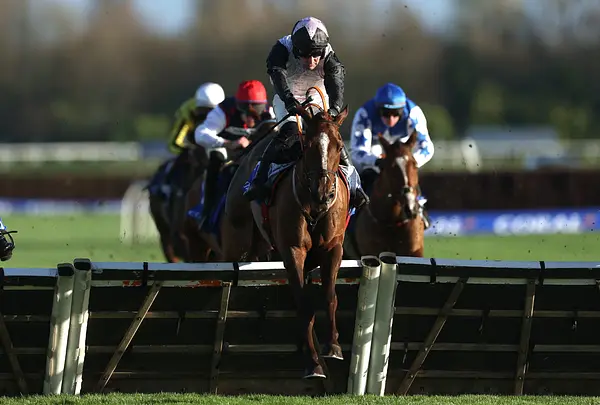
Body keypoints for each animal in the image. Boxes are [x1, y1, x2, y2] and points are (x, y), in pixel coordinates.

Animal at [222, 88, 351, 379]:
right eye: (308, 145)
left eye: (339, 145)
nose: (323, 193)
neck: (313, 205)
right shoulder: (293, 250)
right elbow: (303, 304)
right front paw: (314, 364)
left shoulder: (333, 246)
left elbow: (329, 295)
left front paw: (334, 346)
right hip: (238, 240)